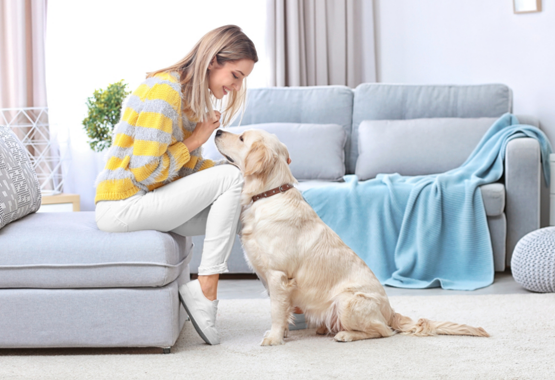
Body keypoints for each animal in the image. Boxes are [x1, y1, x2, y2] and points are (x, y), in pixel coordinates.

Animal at [215, 127, 488, 344]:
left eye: (241, 137)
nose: (217, 131)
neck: (269, 193)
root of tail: (390, 311)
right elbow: (281, 310)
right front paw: (281, 333)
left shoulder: (278, 275)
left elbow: (276, 310)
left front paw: (273, 339)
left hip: (347, 300)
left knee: (383, 331)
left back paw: (345, 334)